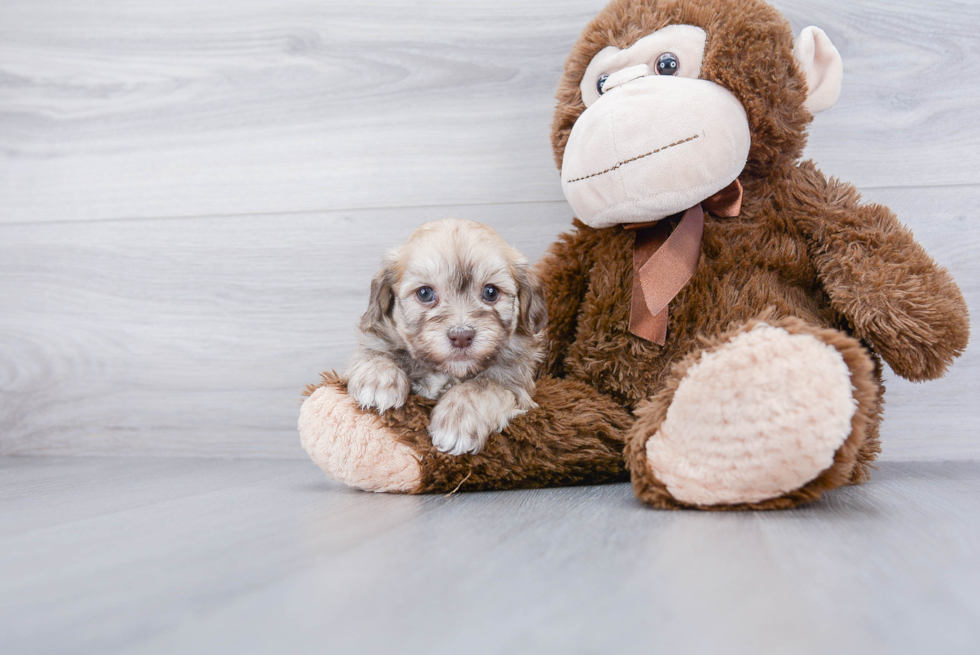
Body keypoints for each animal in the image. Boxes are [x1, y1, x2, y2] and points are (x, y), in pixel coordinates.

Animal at [344, 220, 548, 456]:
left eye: (490, 292)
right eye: (425, 293)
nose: (461, 336)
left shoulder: (516, 385)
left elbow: (481, 386)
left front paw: (458, 419)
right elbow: (375, 350)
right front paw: (378, 380)